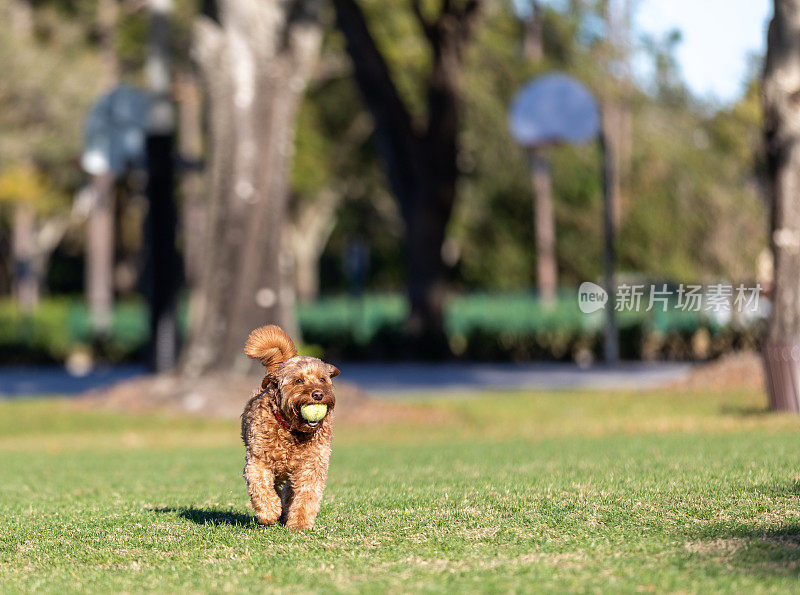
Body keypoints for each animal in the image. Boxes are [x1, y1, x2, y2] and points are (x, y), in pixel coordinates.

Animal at [238, 326, 338, 532]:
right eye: (298, 381)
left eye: (322, 379)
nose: (318, 394)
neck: (292, 431)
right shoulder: (257, 461)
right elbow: (260, 486)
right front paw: (269, 512)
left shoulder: (312, 465)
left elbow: (306, 496)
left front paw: (299, 523)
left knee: (289, 493)